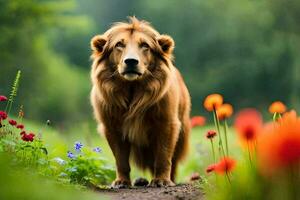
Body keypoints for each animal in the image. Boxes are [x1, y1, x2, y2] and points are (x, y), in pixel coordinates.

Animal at [90, 16, 191, 188]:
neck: (132, 89)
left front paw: (162, 180)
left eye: (145, 45)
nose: (131, 61)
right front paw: (122, 182)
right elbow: (121, 159)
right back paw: (140, 181)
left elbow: (163, 156)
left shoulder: (167, 123)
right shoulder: (112, 125)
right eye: (119, 45)